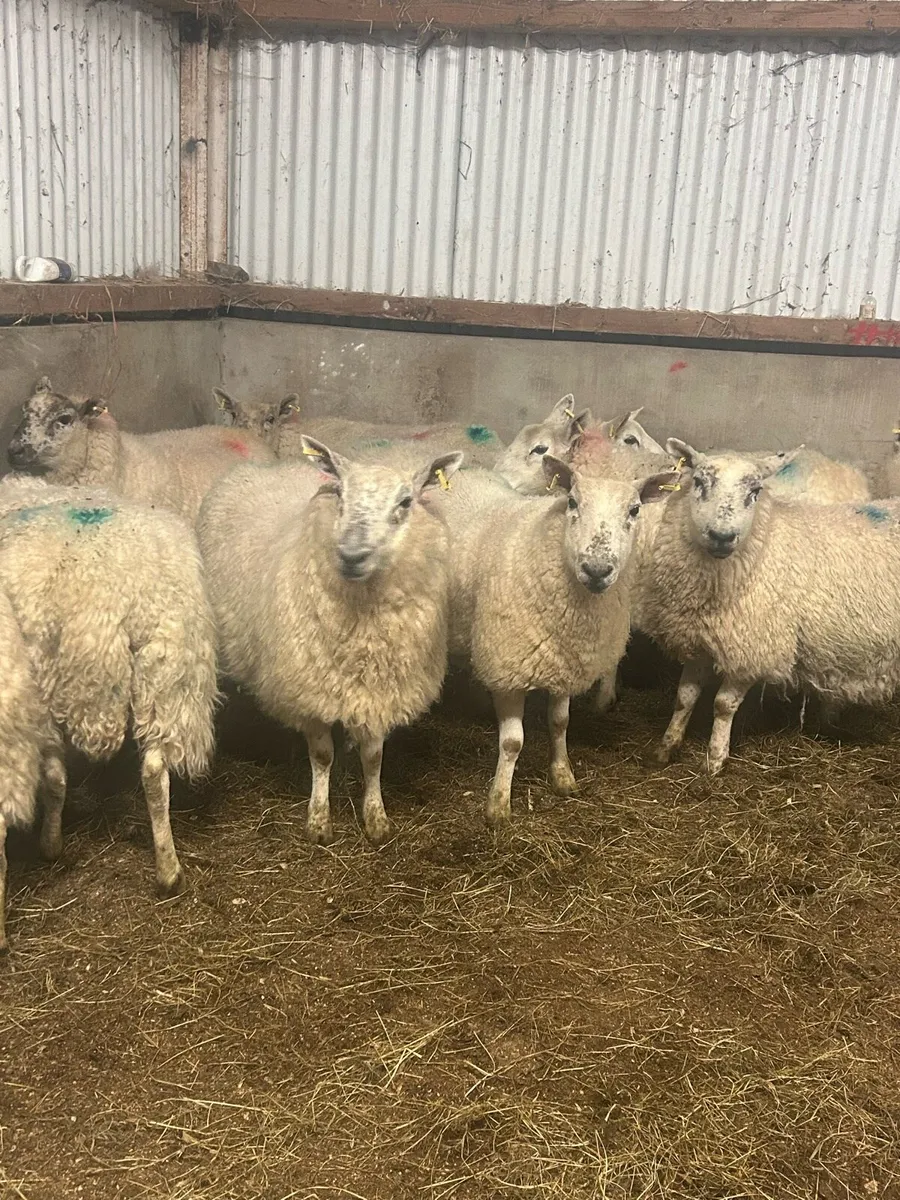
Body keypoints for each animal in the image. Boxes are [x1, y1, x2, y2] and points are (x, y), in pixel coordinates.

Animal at [0, 475, 218, 909]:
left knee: (53, 775)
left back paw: (50, 844)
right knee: (153, 771)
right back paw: (168, 871)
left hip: (44, 676)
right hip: (168, 667)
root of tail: (111, 595)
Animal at [197, 438, 463, 846]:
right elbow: (322, 757)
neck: (362, 627)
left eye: (406, 501)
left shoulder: (381, 691)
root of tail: (272, 465)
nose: (352, 556)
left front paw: (376, 818)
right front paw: (319, 819)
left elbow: (373, 758)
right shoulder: (311, 692)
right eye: (339, 493)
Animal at [430, 453, 672, 826]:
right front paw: (499, 804)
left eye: (634, 510)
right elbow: (512, 743)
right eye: (572, 502)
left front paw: (562, 775)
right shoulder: (509, 667)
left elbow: (560, 723)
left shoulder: (564, 661)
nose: (597, 570)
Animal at [640, 438, 900, 775]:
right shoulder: (701, 639)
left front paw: (715, 759)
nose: (721, 536)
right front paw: (666, 747)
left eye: (755, 491)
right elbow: (684, 697)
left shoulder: (754, 648)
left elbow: (723, 705)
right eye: (699, 482)